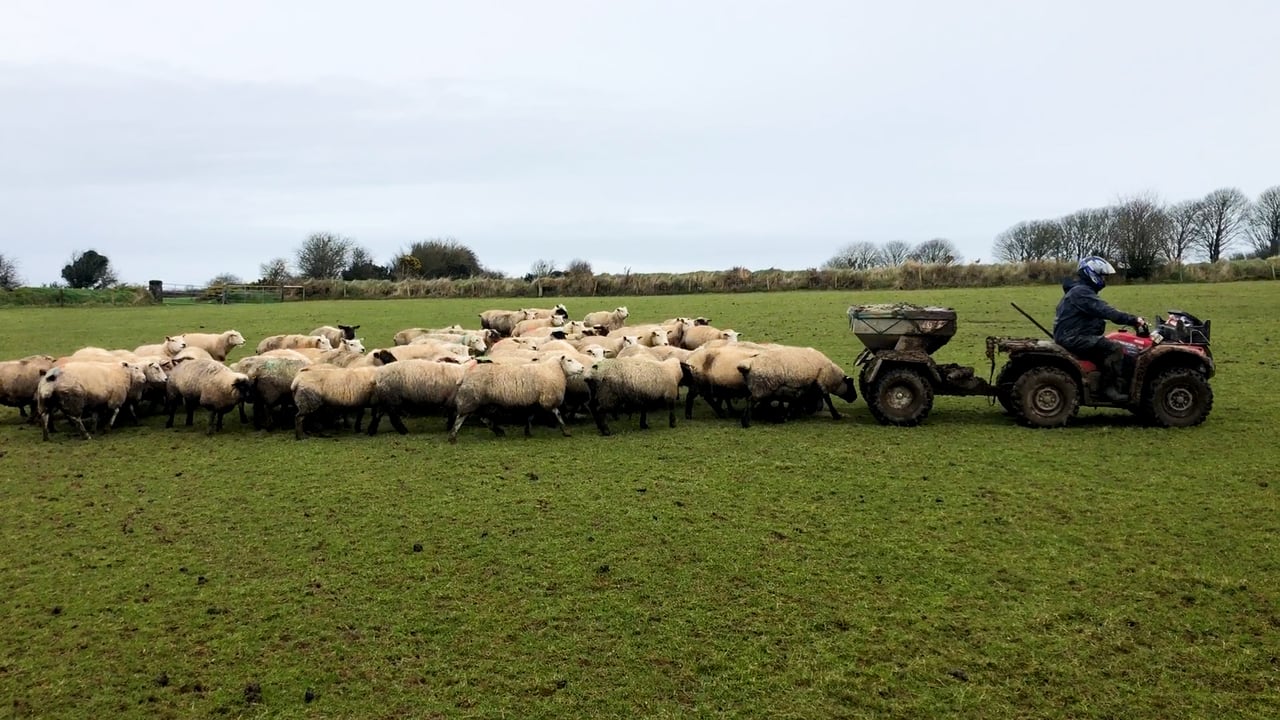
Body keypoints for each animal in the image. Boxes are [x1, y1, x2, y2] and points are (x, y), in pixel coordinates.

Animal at [448, 354, 586, 443]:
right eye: (569, 360)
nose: (583, 368)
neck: (553, 370)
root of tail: (465, 375)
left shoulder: (534, 401)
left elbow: (530, 417)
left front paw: (528, 432)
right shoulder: (547, 399)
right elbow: (557, 414)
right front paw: (566, 431)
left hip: (482, 402)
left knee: (484, 419)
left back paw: (498, 431)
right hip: (470, 399)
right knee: (461, 417)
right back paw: (453, 436)